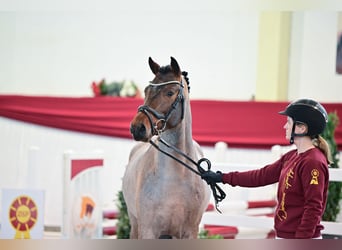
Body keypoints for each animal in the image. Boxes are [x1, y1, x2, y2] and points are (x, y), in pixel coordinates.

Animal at [121, 56, 210, 238]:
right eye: (146, 90)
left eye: (169, 93)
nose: (137, 128)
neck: (175, 177)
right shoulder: (148, 231)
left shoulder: (190, 232)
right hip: (135, 223)